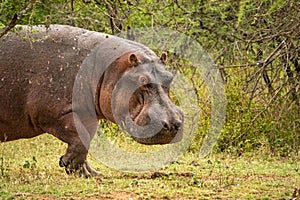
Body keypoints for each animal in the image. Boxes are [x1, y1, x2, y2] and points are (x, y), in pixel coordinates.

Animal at [0, 25, 183, 177]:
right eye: (142, 80)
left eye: (170, 77)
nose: (173, 123)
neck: (108, 68)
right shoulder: (52, 114)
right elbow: (80, 140)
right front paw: (69, 165)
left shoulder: (87, 115)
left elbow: (85, 139)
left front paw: (90, 173)